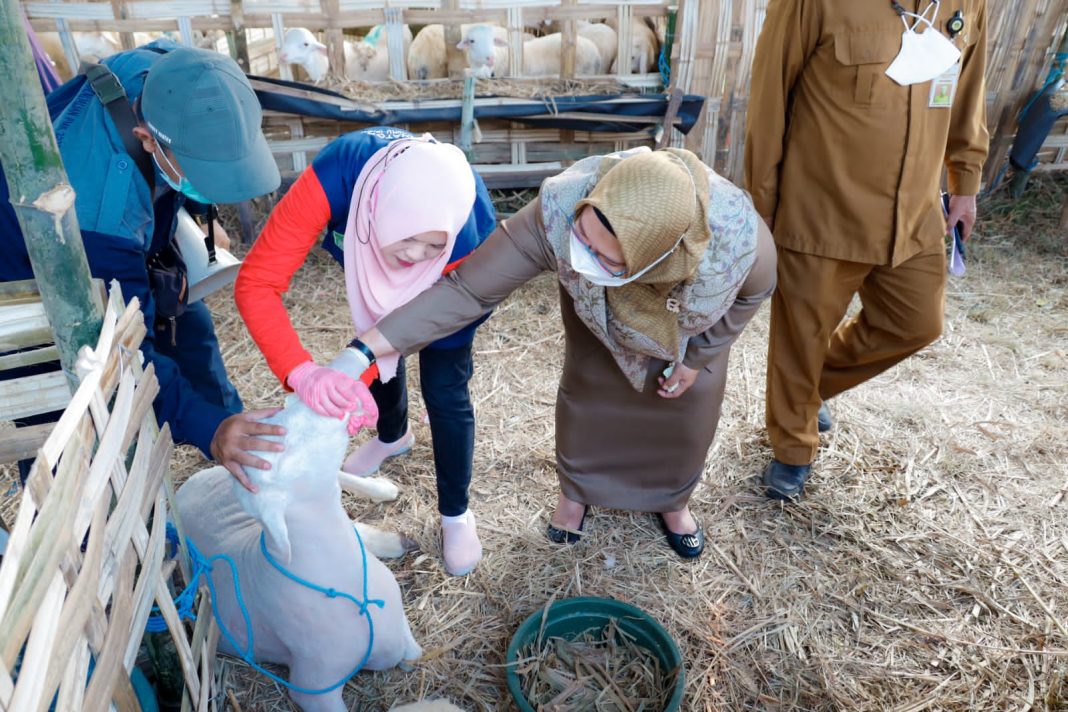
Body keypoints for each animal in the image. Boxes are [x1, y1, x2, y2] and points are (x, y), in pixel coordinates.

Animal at [175, 347, 420, 712]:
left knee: (344, 484)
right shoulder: (313, 687)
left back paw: (383, 495)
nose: (341, 374)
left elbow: (411, 651)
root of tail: (187, 484)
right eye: (290, 441)